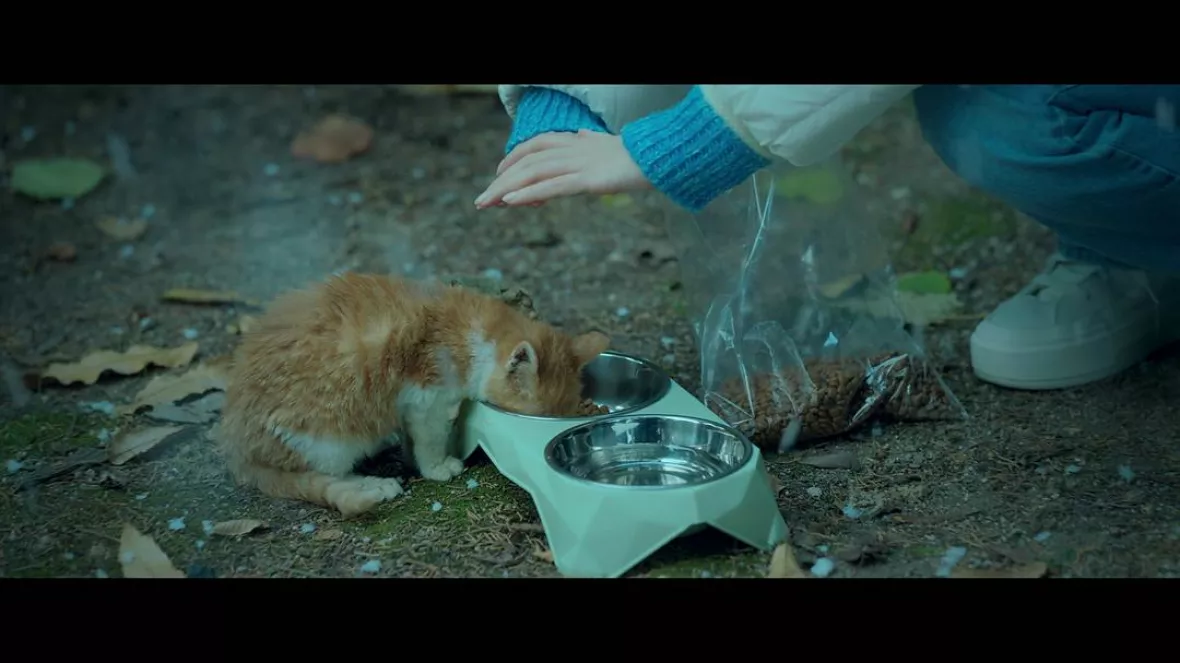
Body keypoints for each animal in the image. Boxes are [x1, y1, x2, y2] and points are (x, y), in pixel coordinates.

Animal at [215, 272, 613, 516]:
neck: (468, 331)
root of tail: (237, 448)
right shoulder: (428, 398)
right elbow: (431, 439)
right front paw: (437, 467)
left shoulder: (412, 403)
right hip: (329, 439)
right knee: (325, 474)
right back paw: (370, 486)